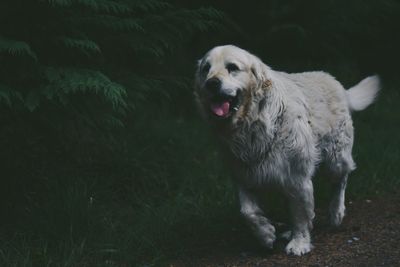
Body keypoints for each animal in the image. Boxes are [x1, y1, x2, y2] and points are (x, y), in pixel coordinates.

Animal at [193, 45, 378, 256]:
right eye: (206, 69)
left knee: (341, 180)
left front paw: (299, 243)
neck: (253, 124)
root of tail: (338, 84)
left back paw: (335, 213)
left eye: (232, 67)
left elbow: (300, 214)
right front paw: (265, 234)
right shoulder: (244, 175)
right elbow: (248, 212)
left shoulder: (297, 177)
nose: (211, 83)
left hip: (335, 160)